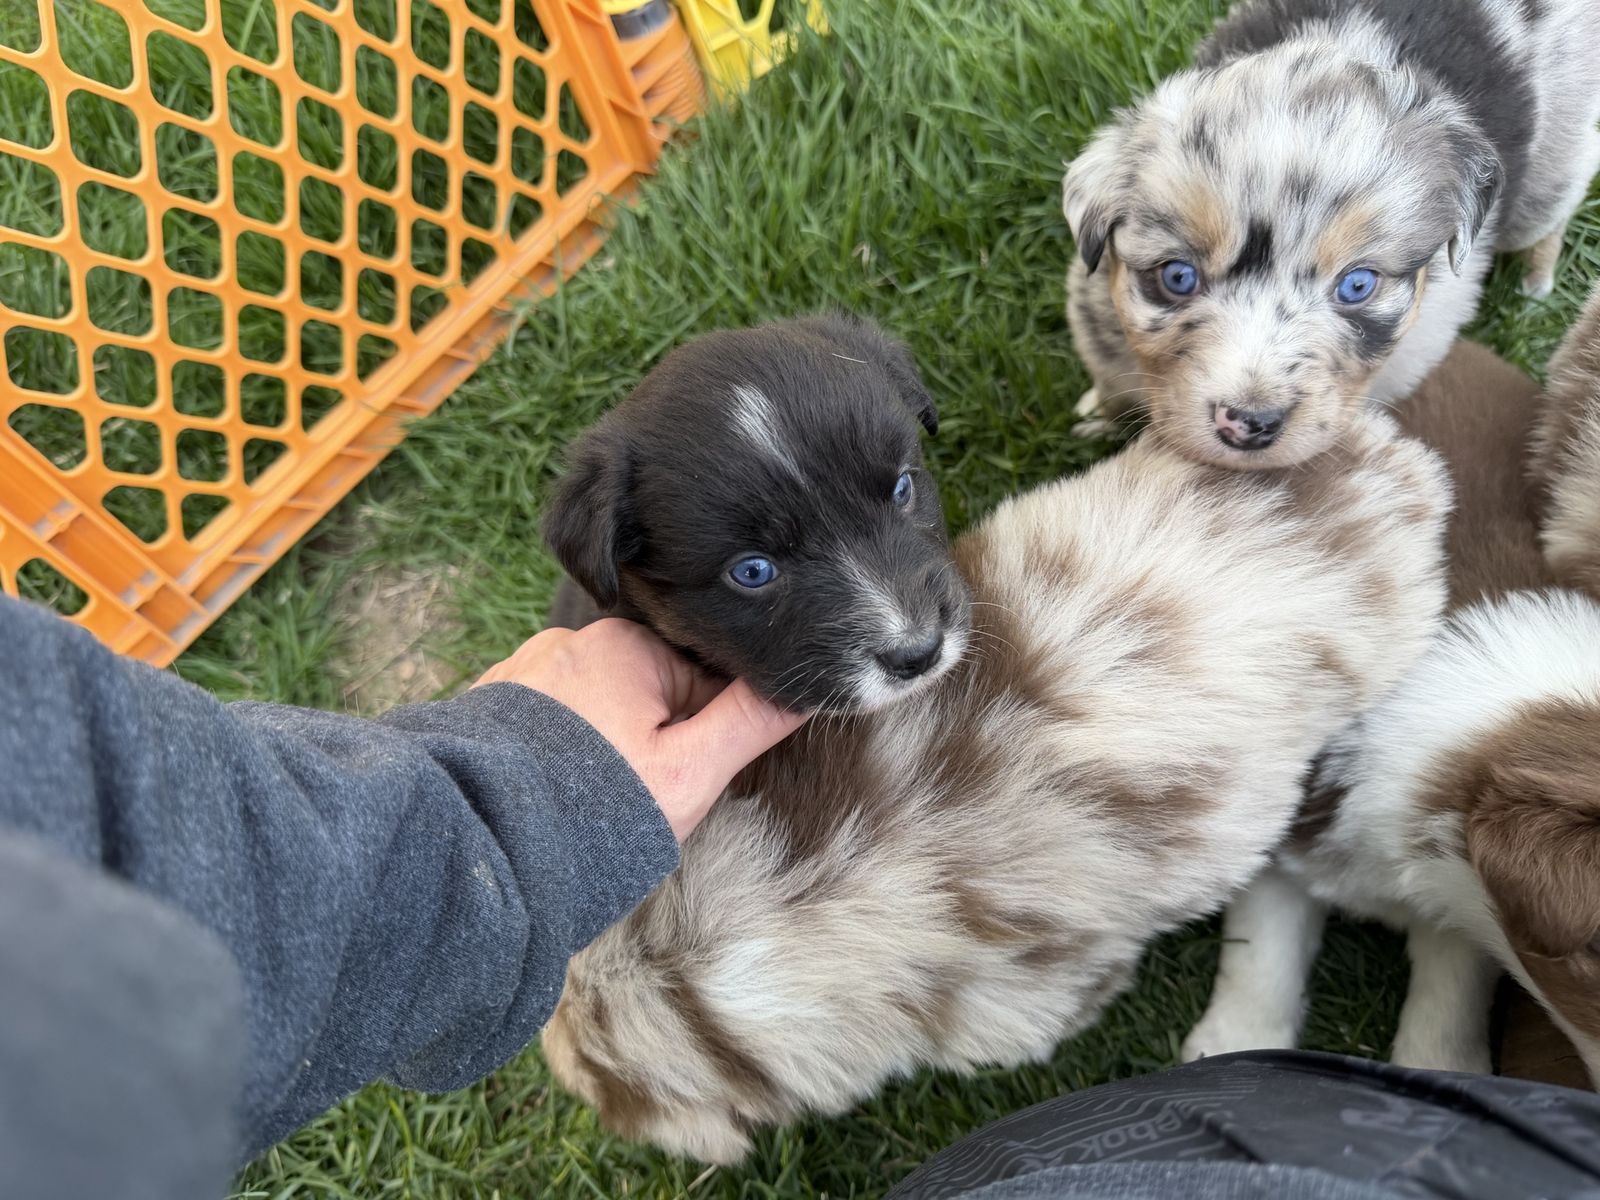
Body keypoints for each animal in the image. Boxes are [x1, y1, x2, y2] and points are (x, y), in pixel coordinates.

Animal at [1062, 0, 1600, 470]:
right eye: (1178, 276)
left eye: (1357, 285)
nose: (1249, 425)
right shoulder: (1093, 307)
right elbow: (1111, 381)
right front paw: (1094, 416)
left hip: (1550, 174)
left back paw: (1535, 285)